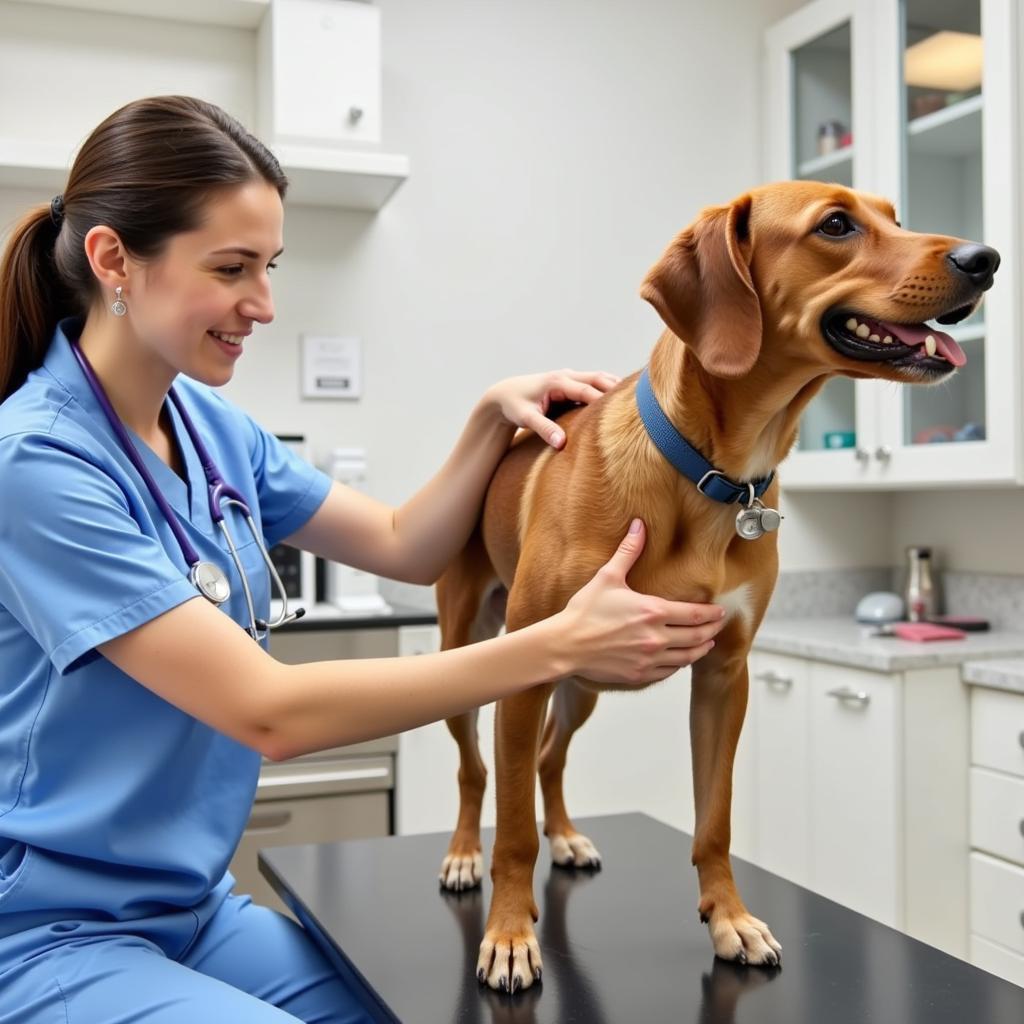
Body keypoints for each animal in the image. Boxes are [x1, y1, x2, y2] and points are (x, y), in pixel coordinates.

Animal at [434, 182, 999, 991]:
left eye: (896, 215)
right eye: (836, 224)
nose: (986, 259)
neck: (713, 472)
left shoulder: (725, 676)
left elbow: (715, 819)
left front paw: (730, 919)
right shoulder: (526, 675)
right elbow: (511, 832)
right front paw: (509, 935)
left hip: (583, 687)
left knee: (547, 758)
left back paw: (567, 836)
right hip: (473, 657)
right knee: (477, 771)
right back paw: (461, 855)